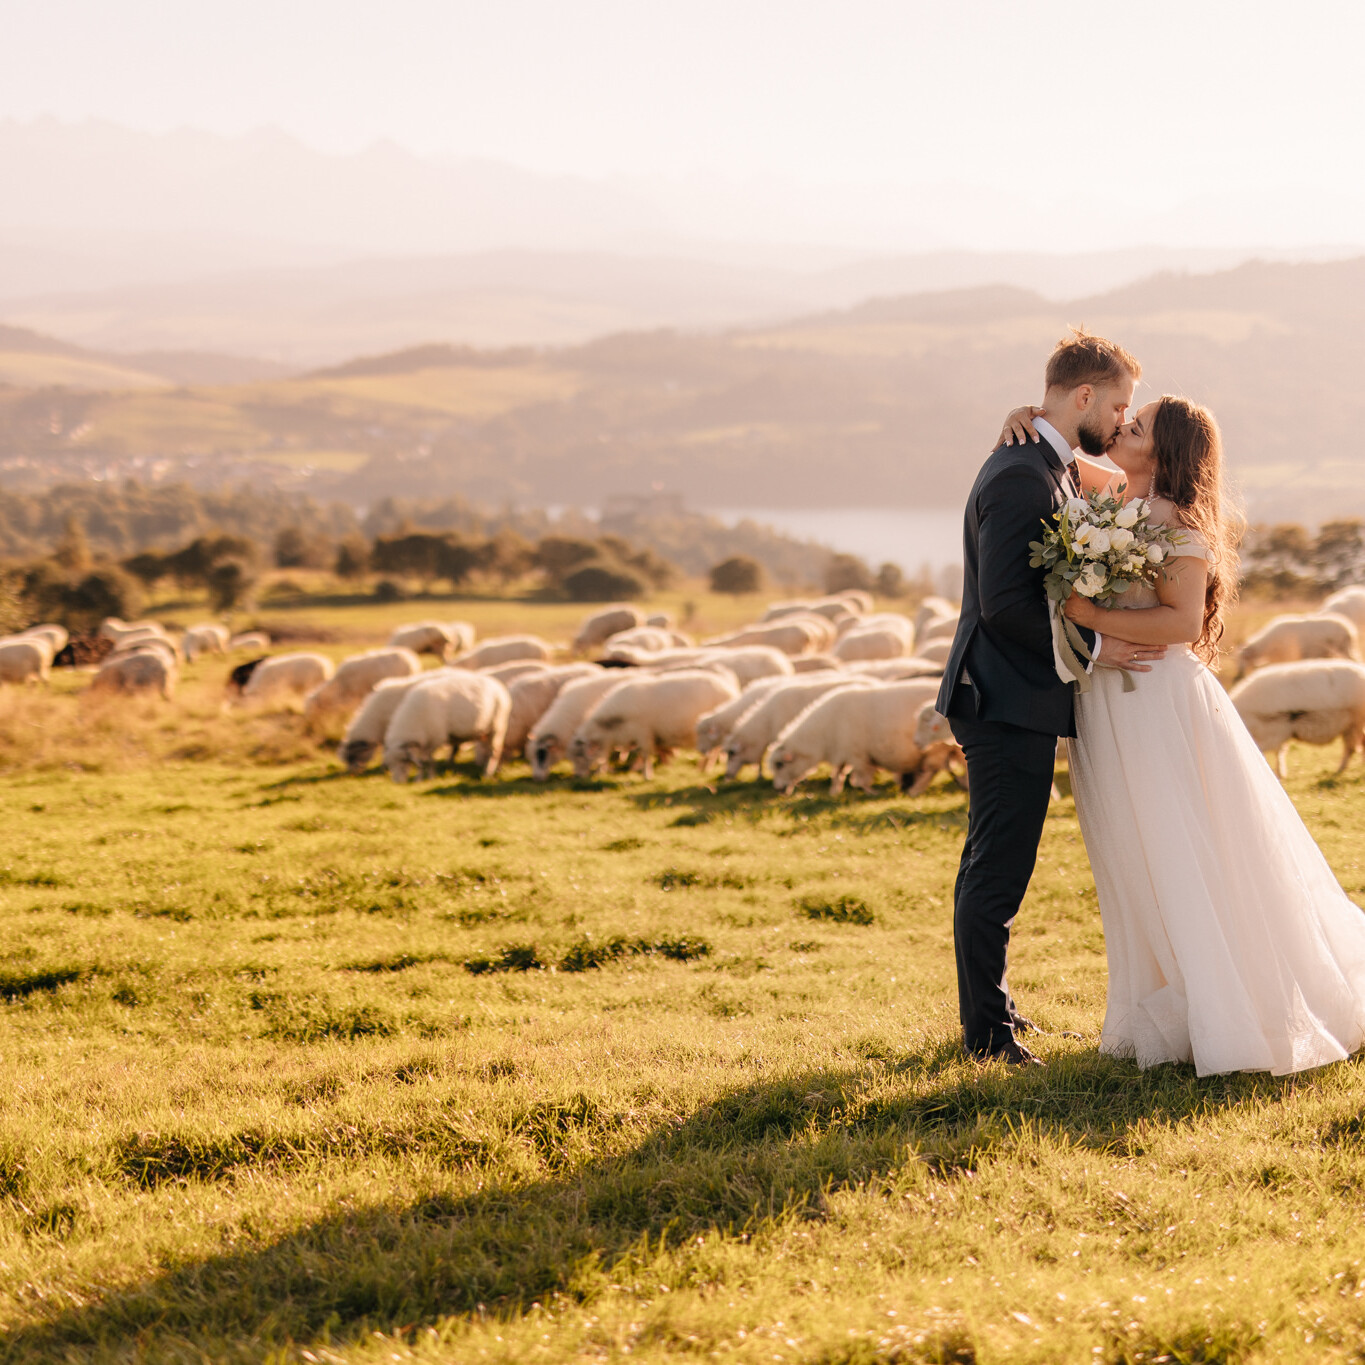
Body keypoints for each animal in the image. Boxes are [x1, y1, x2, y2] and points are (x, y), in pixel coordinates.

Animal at [384, 668, 513, 786]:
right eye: (390, 765)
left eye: (404, 761)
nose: (398, 782)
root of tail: (498, 686)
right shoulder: (427, 742)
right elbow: (427, 761)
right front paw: (428, 777)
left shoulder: (435, 738)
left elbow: (425, 761)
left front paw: (422, 779)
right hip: (485, 732)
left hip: (498, 726)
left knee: (495, 752)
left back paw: (488, 774)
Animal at [570, 668, 742, 780]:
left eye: (580, 755)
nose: (578, 776)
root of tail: (729, 688)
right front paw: (601, 771)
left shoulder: (643, 733)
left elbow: (645, 754)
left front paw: (647, 775)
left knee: (713, 752)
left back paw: (704, 768)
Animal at [769, 677, 950, 797]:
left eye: (780, 764)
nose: (778, 789)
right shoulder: (844, 750)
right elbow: (838, 772)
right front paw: (834, 792)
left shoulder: (858, 754)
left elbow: (863, 775)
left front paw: (870, 791)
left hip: (937, 747)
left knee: (931, 770)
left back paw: (915, 790)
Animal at [1233, 660, 1365, 780]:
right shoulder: (1279, 732)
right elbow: (1279, 752)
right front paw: (1280, 775)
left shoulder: (1273, 733)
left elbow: (1269, 752)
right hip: (1349, 726)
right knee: (1351, 747)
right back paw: (1340, 770)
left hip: (1357, 721)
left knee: (1357, 745)